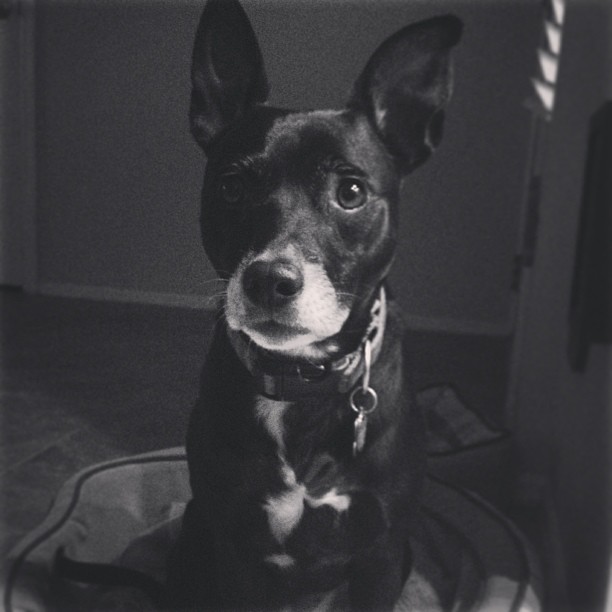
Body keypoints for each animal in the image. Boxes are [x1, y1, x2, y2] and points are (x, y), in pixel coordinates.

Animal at [167, 2, 460, 608]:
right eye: (231, 186)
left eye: (350, 192)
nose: (270, 281)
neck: (300, 379)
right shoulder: (231, 545)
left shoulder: (383, 552)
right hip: (192, 533)